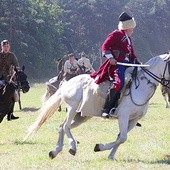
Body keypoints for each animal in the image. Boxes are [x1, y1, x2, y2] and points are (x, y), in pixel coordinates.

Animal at [24, 53, 170, 160]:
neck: (141, 87)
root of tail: (67, 83)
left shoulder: (133, 120)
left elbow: (120, 138)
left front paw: (110, 155)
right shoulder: (123, 116)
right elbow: (123, 137)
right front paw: (100, 147)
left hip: (81, 116)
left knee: (62, 127)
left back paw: (55, 151)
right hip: (72, 108)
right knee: (65, 126)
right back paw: (72, 147)